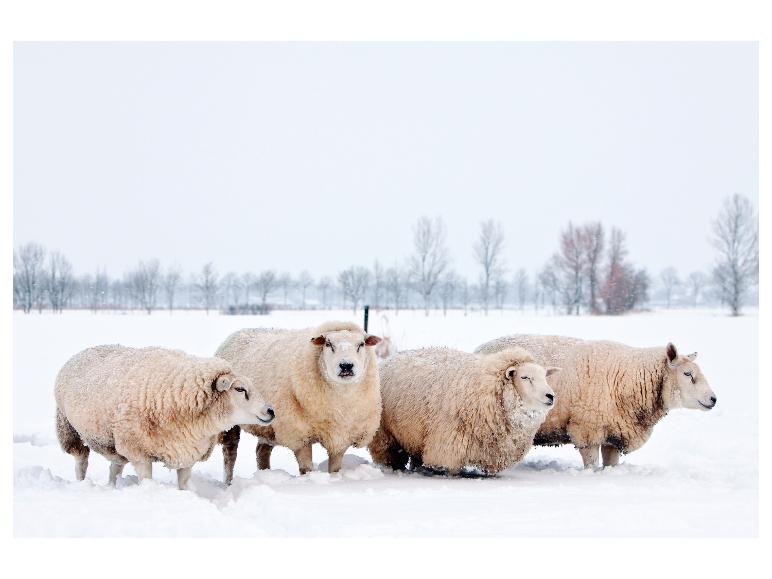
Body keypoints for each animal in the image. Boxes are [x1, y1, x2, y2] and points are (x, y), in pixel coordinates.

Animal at [54, 345, 275, 489]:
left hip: (114, 439)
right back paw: (81, 483)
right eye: (239, 389)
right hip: (69, 428)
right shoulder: (138, 452)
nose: (271, 411)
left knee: (115, 466)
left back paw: (112, 486)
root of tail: (82, 352)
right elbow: (147, 480)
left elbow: (183, 484)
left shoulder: (187, 451)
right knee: (81, 460)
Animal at [215, 321, 382, 482]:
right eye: (328, 344)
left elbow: (335, 469)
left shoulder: (341, 437)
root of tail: (239, 332)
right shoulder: (299, 435)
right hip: (232, 423)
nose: (346, 365)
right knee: (230, 453)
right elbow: (306, 469)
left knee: (261, 451)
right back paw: (228, 482)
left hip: (269, 426)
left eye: (361, 344)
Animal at [367, 347, 560, 476]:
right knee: (389, 455)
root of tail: (388, 360)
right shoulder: (448, 445)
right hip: (385, 436)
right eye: (525, 377)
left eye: (545, 377)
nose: (551, 396)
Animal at [475, 335, 717, 468]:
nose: (713, 399)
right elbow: (591, 464)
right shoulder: (587, 428)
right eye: (687, 374)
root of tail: (479, 348)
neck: (630, 376)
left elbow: (610, 463)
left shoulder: (616, 431)